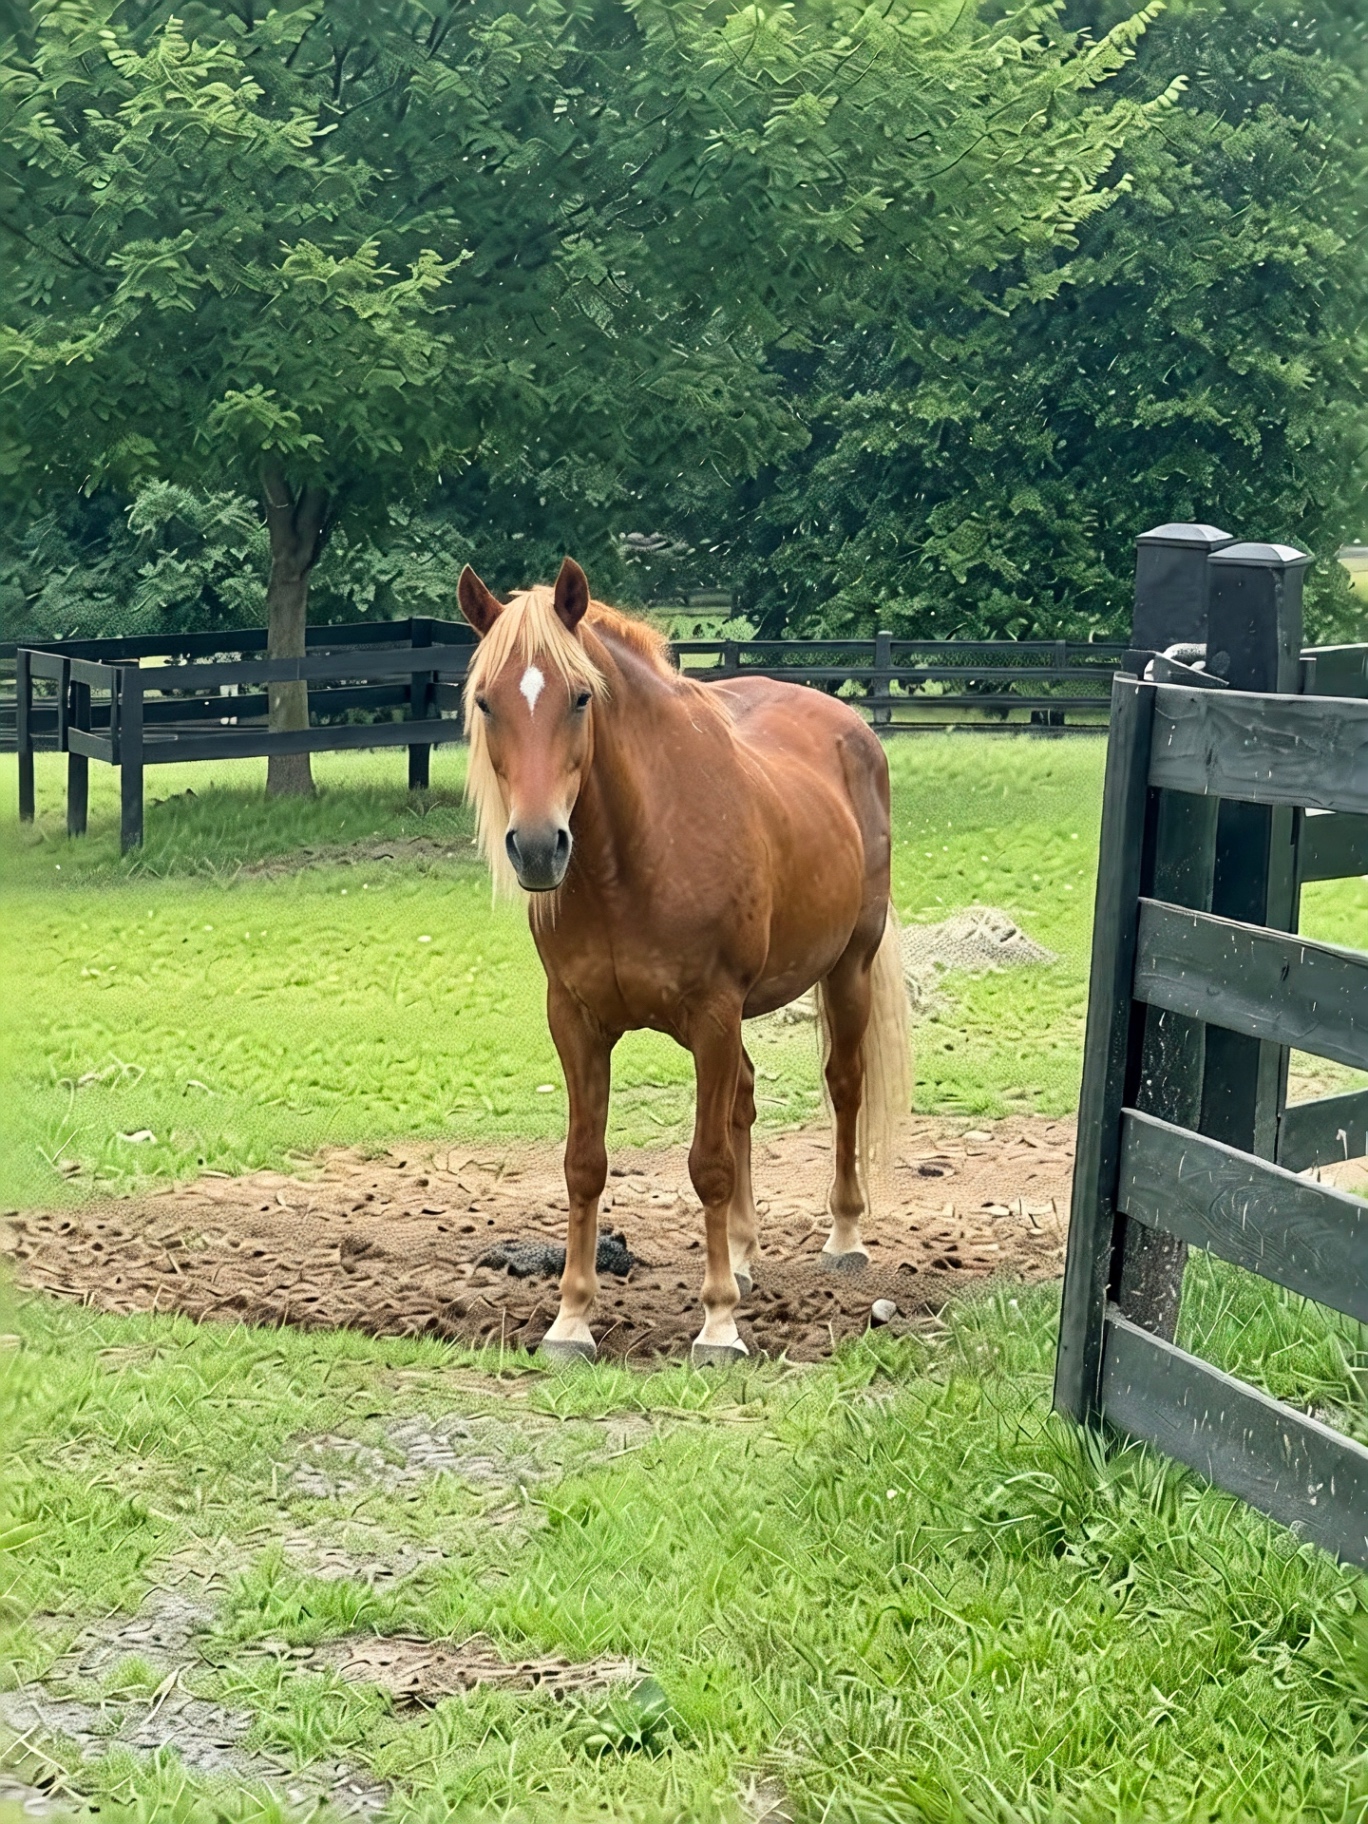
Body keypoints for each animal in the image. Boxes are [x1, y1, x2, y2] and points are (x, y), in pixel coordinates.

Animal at [457, 557, 910, 1365]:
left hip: (846, 971)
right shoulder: (575, 1021)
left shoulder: (713, 1012)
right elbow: (584, 1165)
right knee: (745, 1100)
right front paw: (571, 1320)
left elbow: (708, 1165)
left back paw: (844, 1237)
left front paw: (719, 1323)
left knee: (845, 1087)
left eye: (580, 697)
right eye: (486, 701)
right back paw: (746, 1252)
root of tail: (851, 727)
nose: (538, 847)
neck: (634, 853)